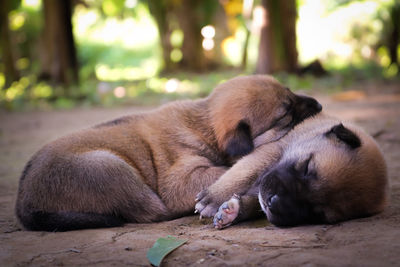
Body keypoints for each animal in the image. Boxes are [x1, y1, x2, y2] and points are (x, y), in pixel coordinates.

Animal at [15, 75, 324, 232]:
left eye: (291, 92)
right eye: (285, 114)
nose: (320, 105)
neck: (203, 123)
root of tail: (23, 203)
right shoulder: (181, 179)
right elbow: (225, 171)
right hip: (110, 167)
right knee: (152, 211)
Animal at [195, 112, 390, 228]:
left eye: (317, 214)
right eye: (306, 167)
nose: (273, 201)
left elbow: (256, 201)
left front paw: (233, 210)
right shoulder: (272, 150)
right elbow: (245, 172)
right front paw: (213, 198)